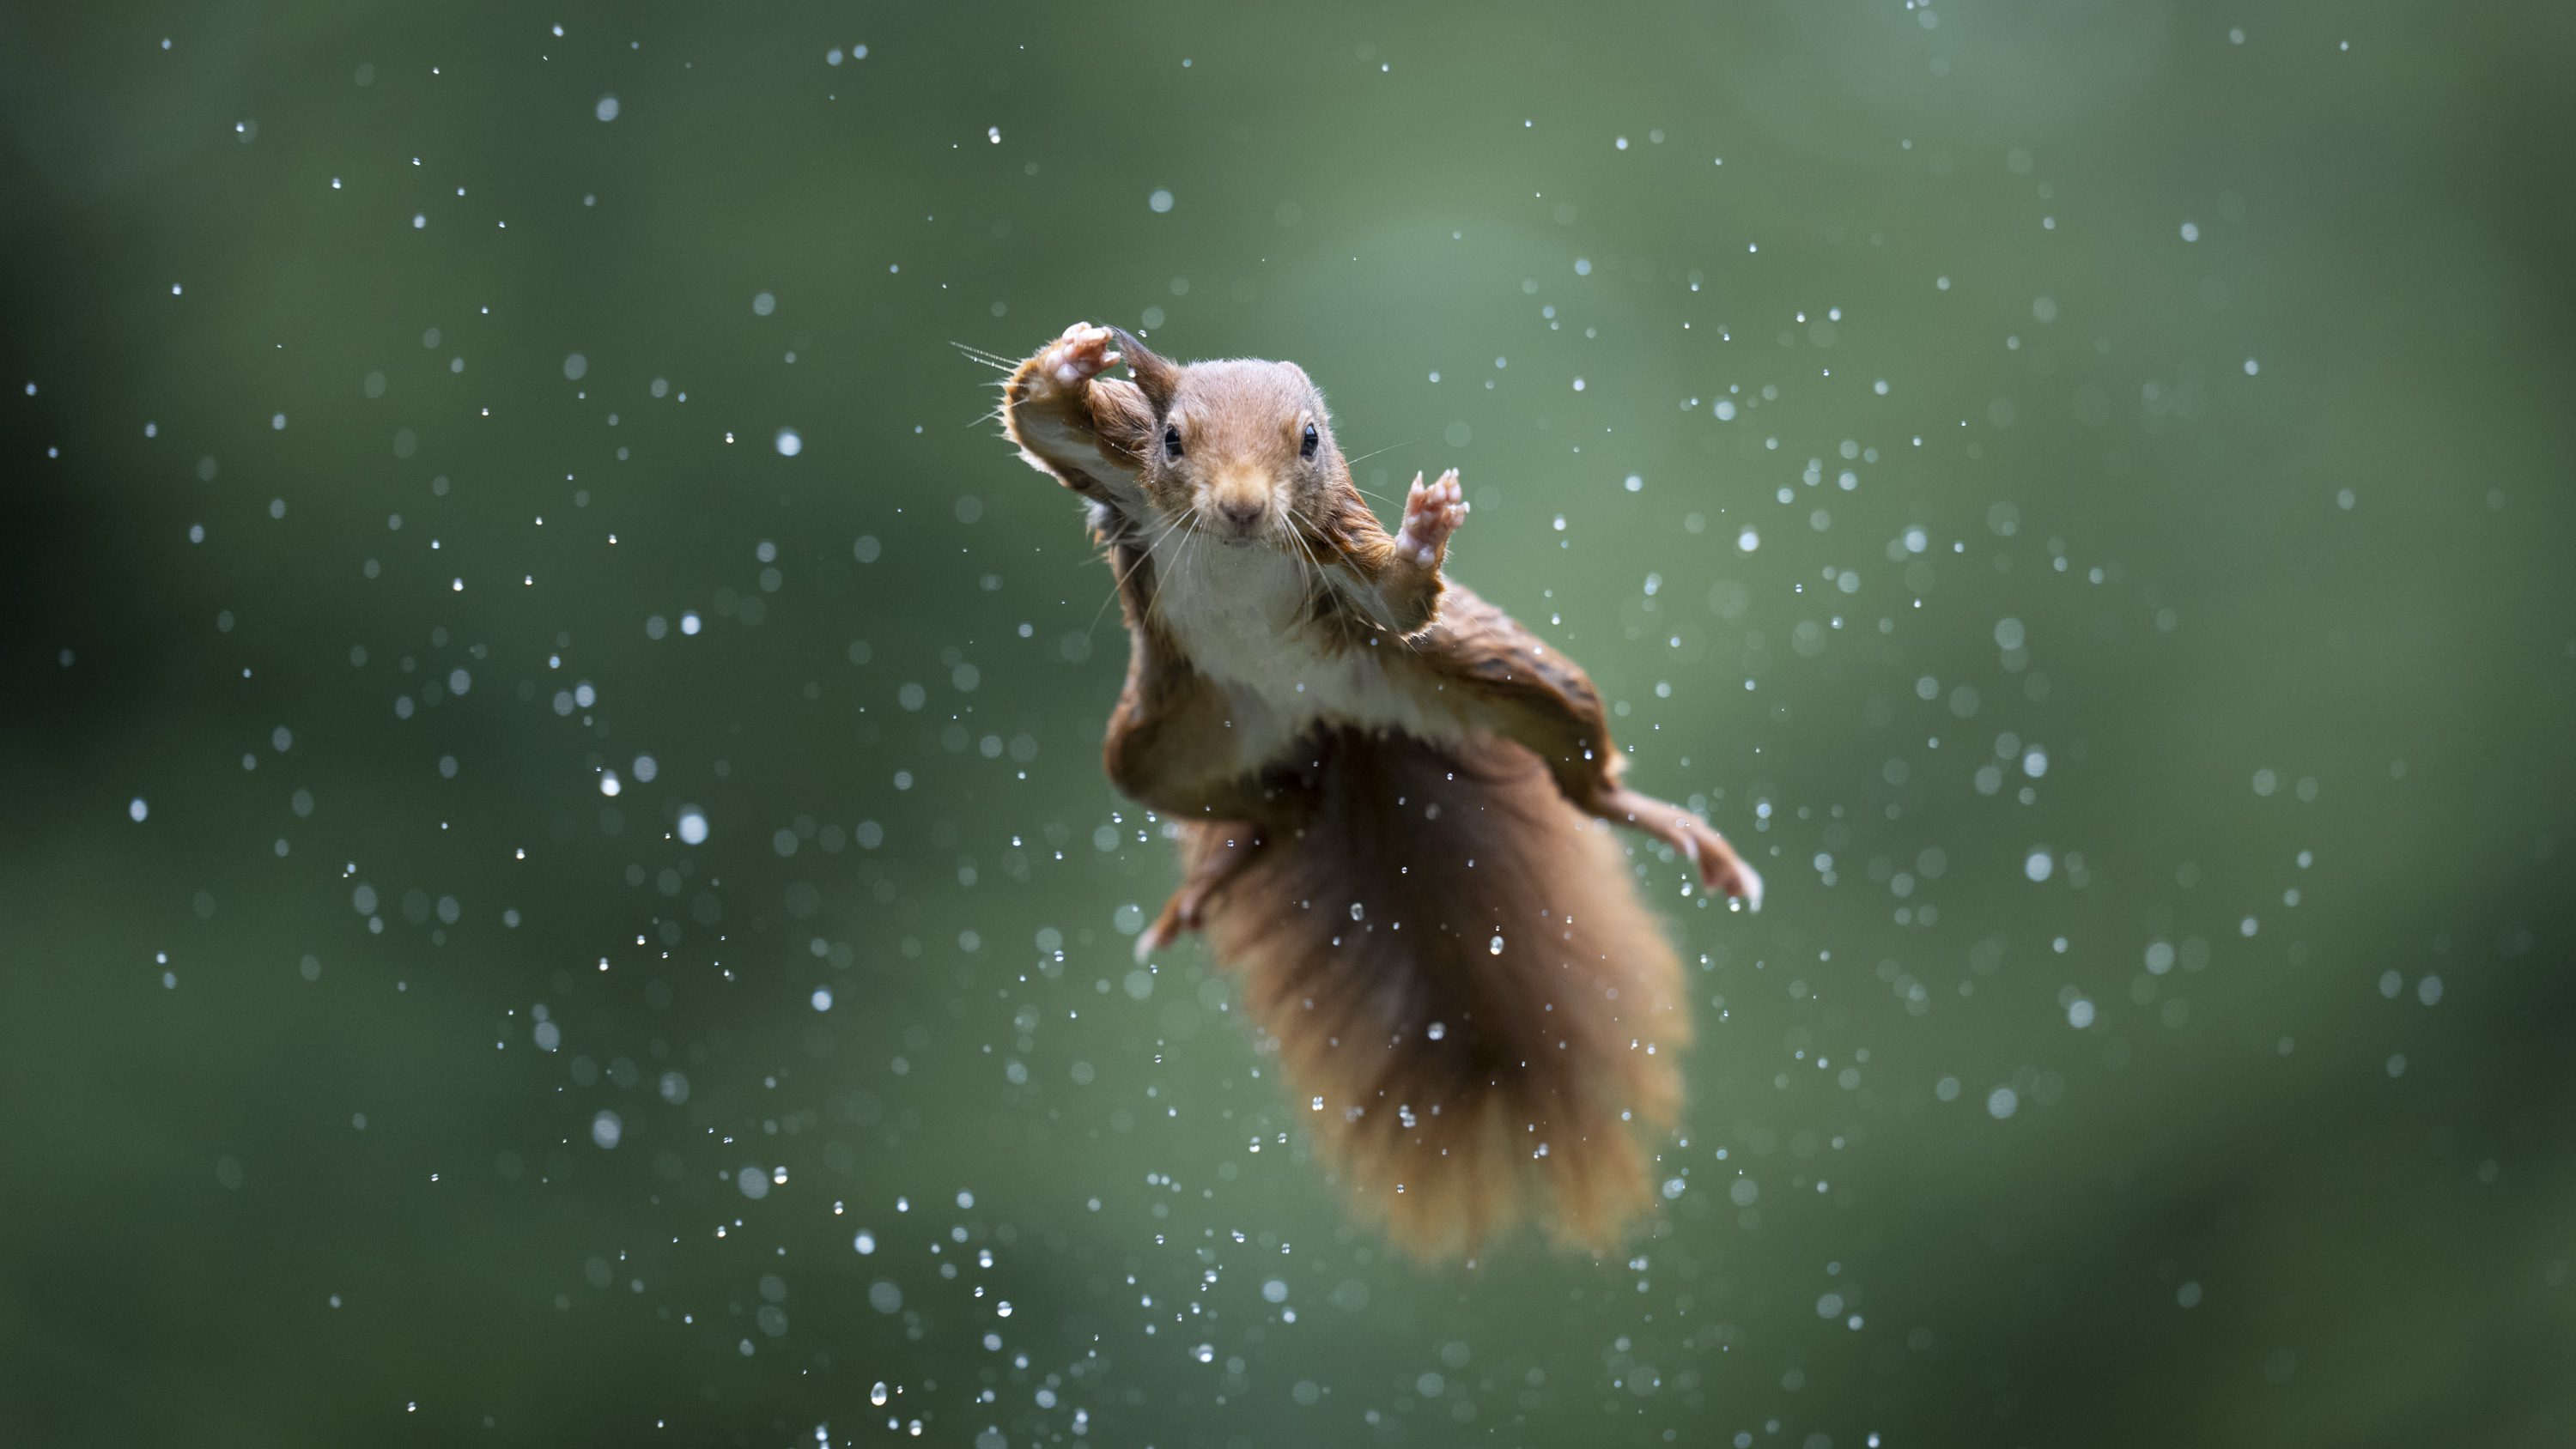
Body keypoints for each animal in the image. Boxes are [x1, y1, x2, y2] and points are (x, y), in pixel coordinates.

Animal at [994, 323, 1762, 1251]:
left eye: (1309, 440)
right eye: (1173, 439)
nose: (1243, 508)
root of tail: (1333, 720)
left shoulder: (1339, 550)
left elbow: (1400, 598)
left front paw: (1425, 532)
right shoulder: (1120, 468)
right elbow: (1038, 418)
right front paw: (1074, 358)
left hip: (1493, 674)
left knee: (1581, 773)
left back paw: (1678, 830)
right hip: (1167, 741)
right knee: (1274, 806)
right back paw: (1224, 868)